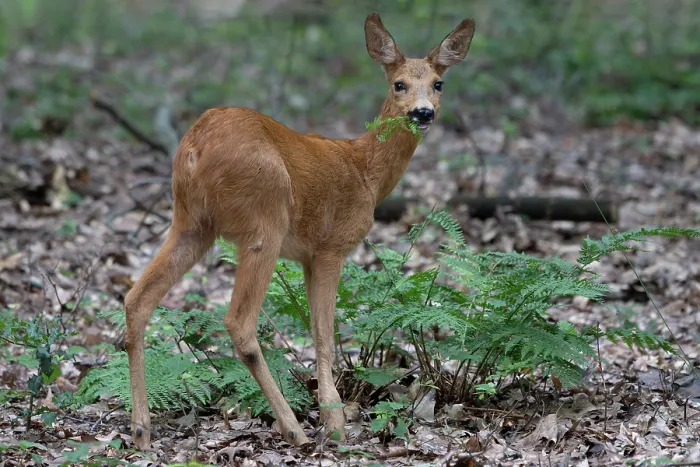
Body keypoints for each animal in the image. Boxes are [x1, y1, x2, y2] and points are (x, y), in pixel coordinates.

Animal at [124, 12, 474, 449]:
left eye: (439, 83)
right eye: (399, 83)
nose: (423, 112)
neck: (366, 172)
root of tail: (192, 149)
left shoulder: (307, 254)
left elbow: (317, 329)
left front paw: (330, 415)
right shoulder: (332, 246)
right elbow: (325, 332)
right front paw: (335, 423)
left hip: (191, 222)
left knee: (137, 299)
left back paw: (141, 429)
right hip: (265, 218)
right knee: (238, 322)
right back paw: (293, 428)